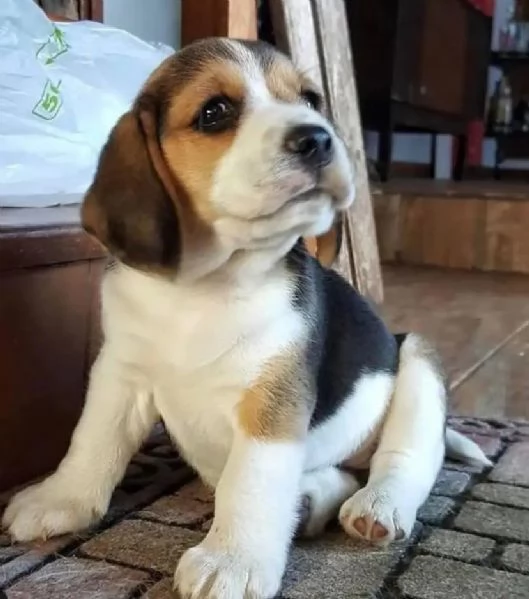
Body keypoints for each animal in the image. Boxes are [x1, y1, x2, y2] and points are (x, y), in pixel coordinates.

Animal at [5, 38, 490, 599]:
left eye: (309, 99)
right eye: (214, 112)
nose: (318, 138)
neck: (206, 287)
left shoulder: (273, 400)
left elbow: (251, 482)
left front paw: (232, 560)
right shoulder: (119, 374)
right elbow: (92, 441)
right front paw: (59, 500)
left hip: (415, 357)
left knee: (404, 461)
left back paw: (377, 506)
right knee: (339, 475)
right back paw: (311, 498)